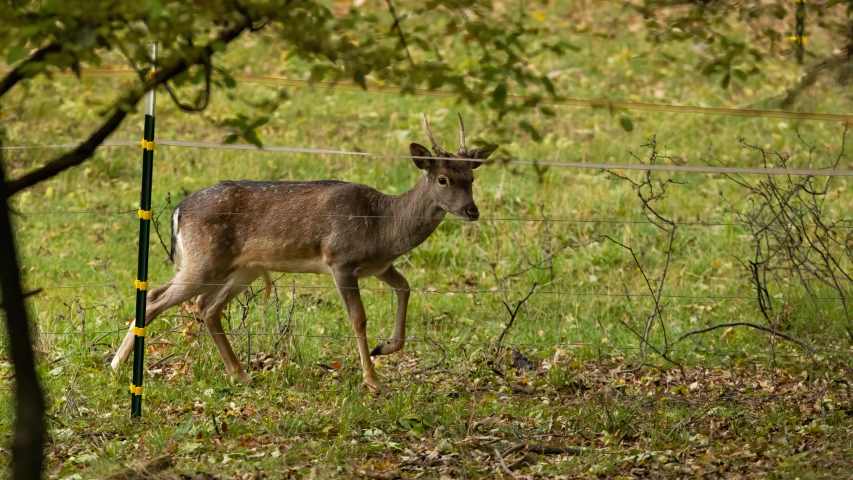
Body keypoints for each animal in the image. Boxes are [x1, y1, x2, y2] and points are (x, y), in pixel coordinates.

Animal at [113, 114, 500, 392]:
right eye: (443, 179)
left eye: (471, 178)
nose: (472, 211)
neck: (384, 226)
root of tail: (179, 210)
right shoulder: (340, 259)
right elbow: (358, 318)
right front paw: (373, 380)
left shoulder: (378, 266)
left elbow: (405, 288)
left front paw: (385, 347)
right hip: (203, 259)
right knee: (156, 297)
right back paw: (117, 367)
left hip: (242, 268)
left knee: (206, 307)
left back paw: (240, 374)